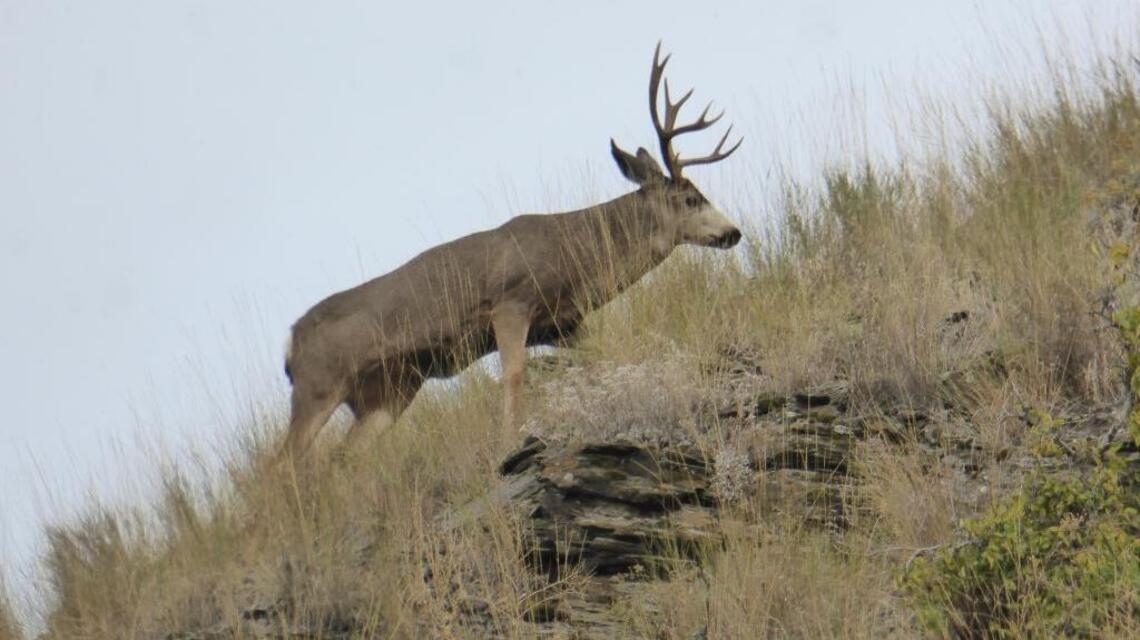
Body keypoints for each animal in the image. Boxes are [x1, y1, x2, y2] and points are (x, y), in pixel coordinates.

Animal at [280, 42, 743, 461]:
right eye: (691, 199)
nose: (734, 232)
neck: (574, 254)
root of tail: (290, 341)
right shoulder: (510, 302)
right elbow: (514, 377)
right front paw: (510, 442)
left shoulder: (563, 325)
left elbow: (596, 360)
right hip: (318, 382)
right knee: (283, 464)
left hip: (388, 391)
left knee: (342, 456)